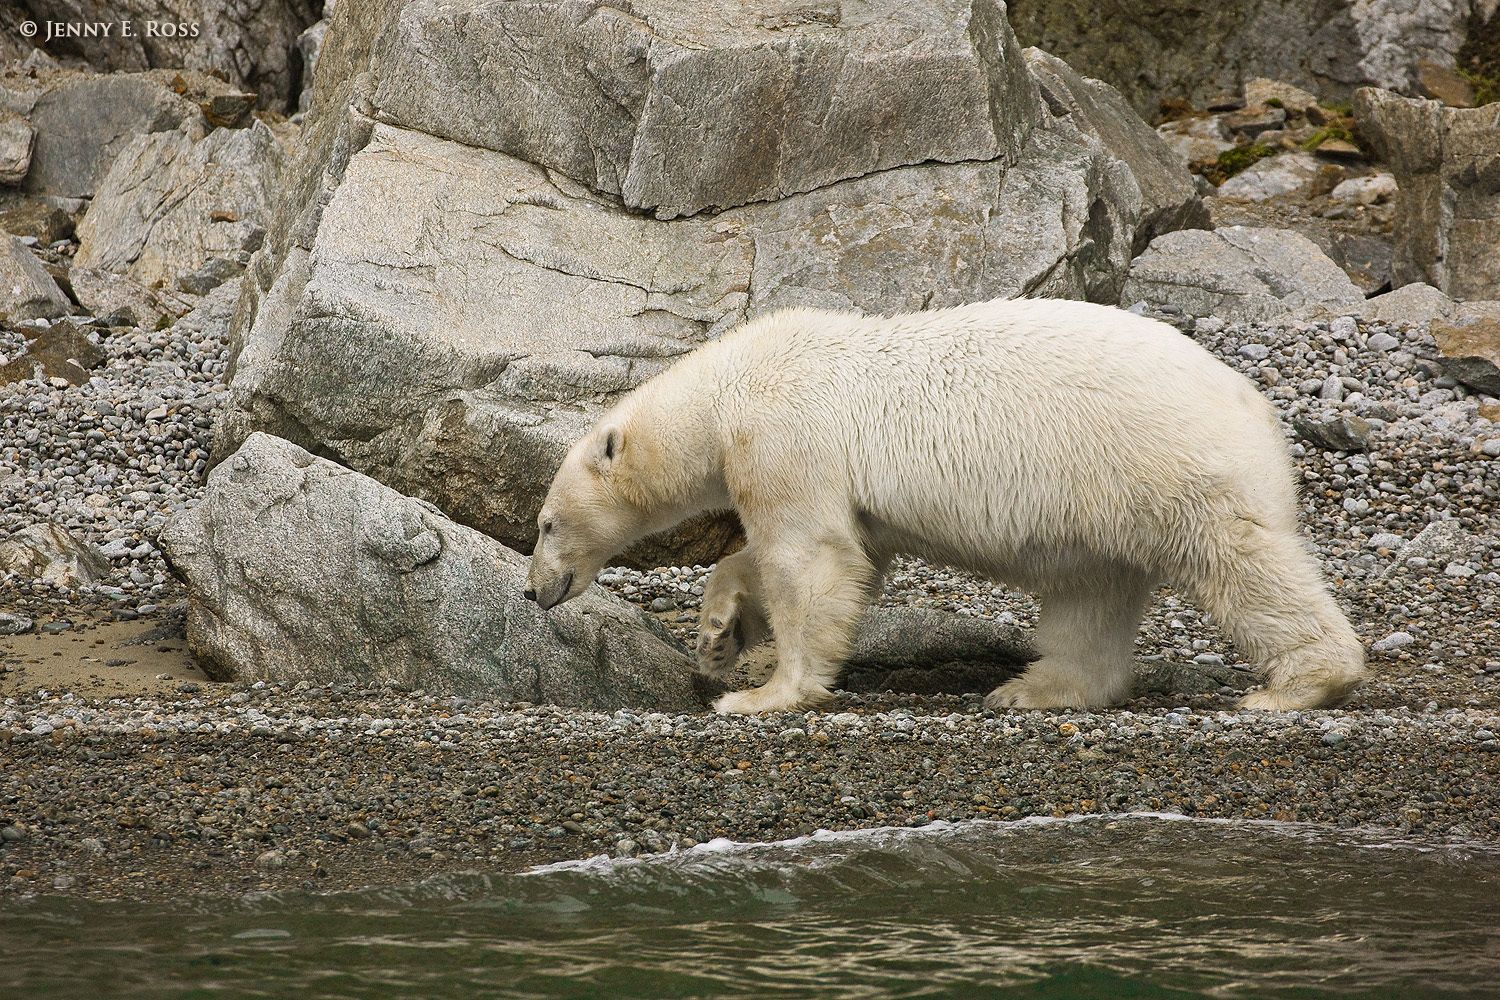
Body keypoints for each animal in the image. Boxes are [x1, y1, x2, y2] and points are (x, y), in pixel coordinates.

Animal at [525, 297, 1367, 715]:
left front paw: (763, 696)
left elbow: (810, 555)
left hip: (1163, 461)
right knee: (1093, 594)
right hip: (1106, 499)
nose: (533, 590)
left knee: (1240, 562)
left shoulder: (787, 433)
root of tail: (1257, 407)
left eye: (544, 522)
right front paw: (718, 632)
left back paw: (1296, 685)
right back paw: (1032, 690)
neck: (725, 388)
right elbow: (836, 555)